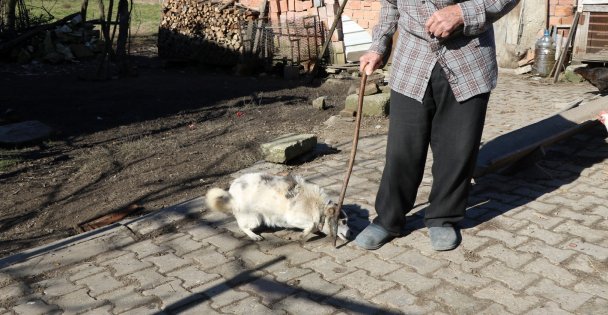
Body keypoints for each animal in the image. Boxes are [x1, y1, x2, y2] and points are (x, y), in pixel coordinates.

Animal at [207, 173, 352, 242]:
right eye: (343, 222)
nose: (351, 233)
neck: (318, 205)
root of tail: (231, 192)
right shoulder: (293, 219)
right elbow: (311, 225)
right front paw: (303, 235)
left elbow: (314, 225)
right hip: (255, 218)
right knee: (243, 227)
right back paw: (254, 236)